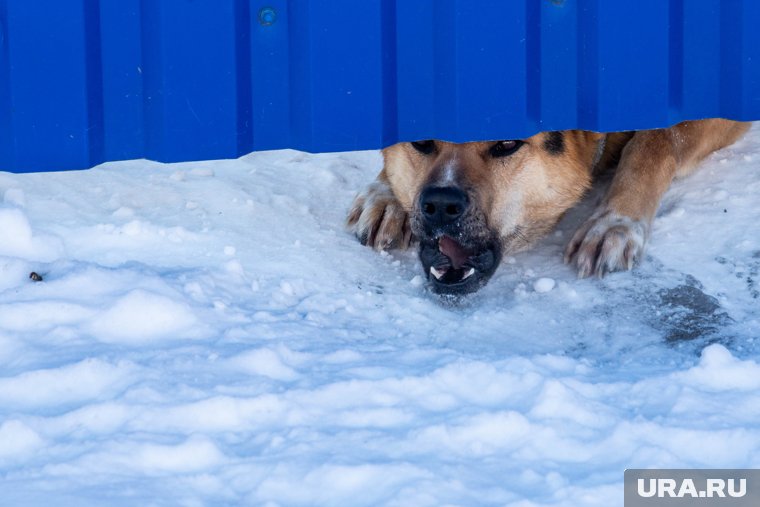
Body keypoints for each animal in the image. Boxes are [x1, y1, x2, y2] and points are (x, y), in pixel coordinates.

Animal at [348, 121, 752, 296]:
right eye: (421, 141)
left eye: (506, 143)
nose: (440, 204)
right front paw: (385, 193)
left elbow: (658, 140)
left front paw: (616, 222)